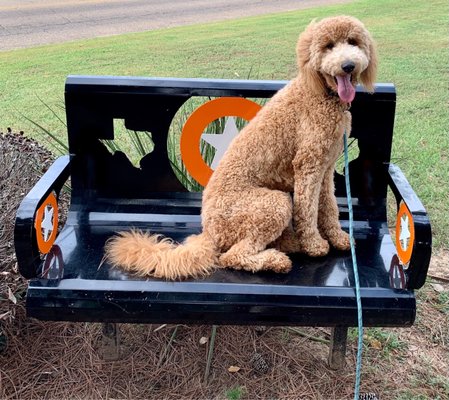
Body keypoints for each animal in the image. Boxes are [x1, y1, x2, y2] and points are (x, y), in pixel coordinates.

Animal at [105, 15, 374, 278]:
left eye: (353, 42)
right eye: (328, 46)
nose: (348, 65)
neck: (322, 94)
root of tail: (209, 233)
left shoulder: (325, 170)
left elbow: (328, 207)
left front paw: (338, 237)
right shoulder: (308, 167)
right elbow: (308, 210)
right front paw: (314, 245)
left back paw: (289, 243)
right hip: (271, 205)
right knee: (233, 256)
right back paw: (276, 259)